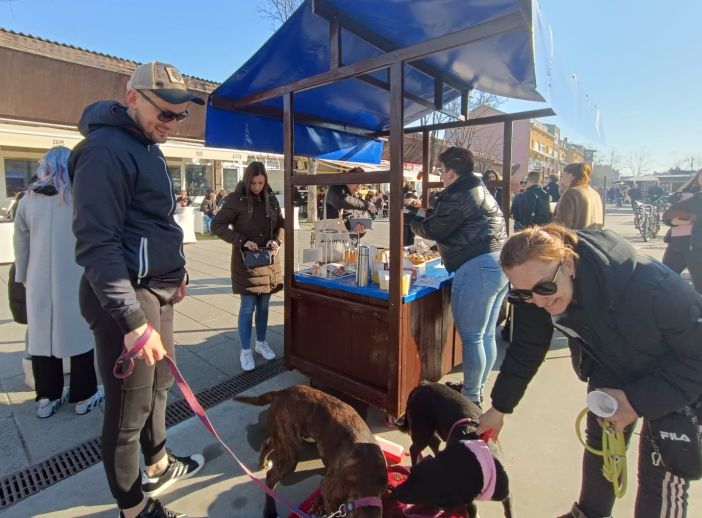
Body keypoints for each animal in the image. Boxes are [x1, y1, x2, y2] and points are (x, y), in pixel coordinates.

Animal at [234, 386, 388, 518]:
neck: (368, 483)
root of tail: (280, 392)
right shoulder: (328, 489)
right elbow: (328, 504)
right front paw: (321, 508)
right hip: (290, 451)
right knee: (271, 478)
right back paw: (270, 510)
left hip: (282, 438)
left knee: (267, 443)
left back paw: (262, 462)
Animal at [396, 382, 516, 518]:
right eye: (410, 476)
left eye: (420, 490)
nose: (393, 492)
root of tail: (422, 385)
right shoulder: (469, 500)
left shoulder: (506, 495)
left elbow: (508, 511)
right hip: (423, 431)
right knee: (416, 448)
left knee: (432, 443)